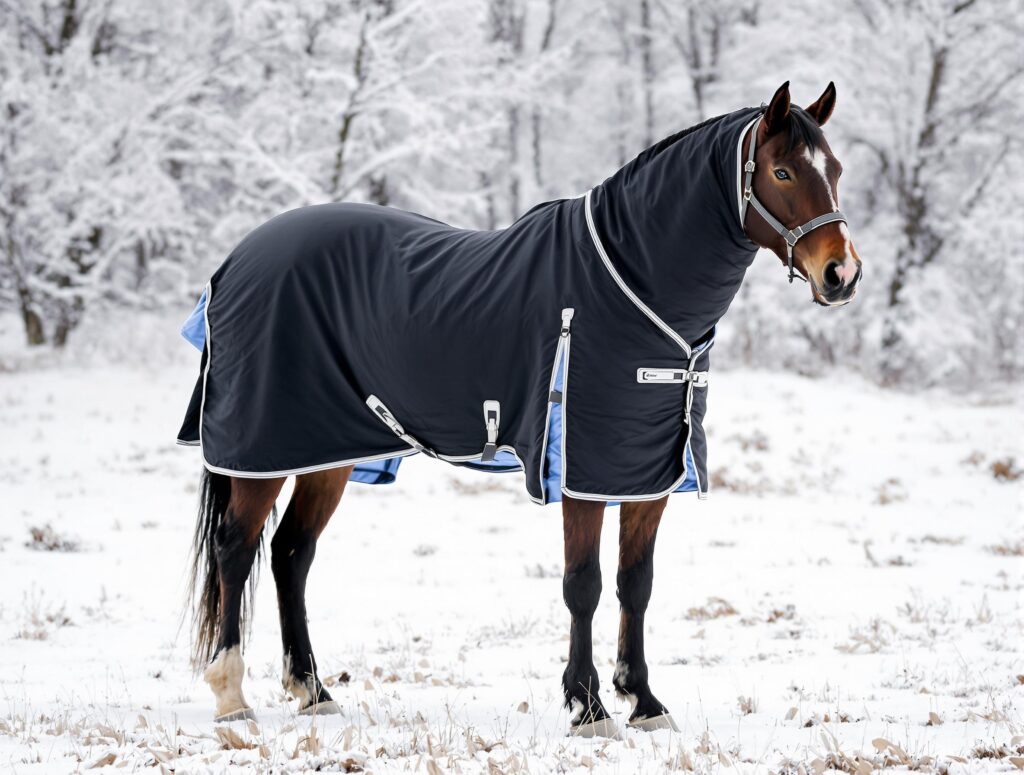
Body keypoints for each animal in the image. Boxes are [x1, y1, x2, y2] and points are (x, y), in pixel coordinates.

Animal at [181, 81, 862, 735]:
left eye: (835, 168)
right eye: (781, 172)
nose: (842, 274)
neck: (632, 283)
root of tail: (236, 260)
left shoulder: (645, 475)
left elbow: (635, 585)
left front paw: (643, 701)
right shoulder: (581, 473)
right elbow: (583, 585)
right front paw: (588, 707)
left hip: (328, 452)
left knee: (290, 554)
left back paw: (314, 692)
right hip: (262, 450)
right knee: (236, 549)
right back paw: (231, 697)